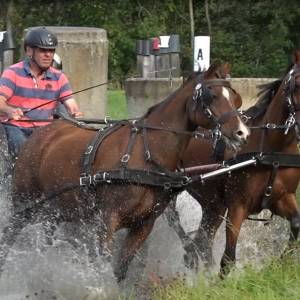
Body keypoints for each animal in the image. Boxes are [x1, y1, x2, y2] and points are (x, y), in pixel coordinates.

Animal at [0, 61, 250, 282]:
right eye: (212, 95)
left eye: (234, 97)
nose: (242, 132)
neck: (146, 154)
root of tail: (40, 134)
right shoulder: (107, 221)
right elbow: (102, 267)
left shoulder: (143, 225)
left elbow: (120, 269)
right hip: (23, 204)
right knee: (8, 236)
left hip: (57, 211)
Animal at [166, 48, 300, 274]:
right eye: (297, 85)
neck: (270, 150)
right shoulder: (238, 206)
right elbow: (228, 258)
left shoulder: (282, 197)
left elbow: (296, 224)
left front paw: (283, 262)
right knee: (175, 219)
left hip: (213, 203)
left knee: (203, 240)